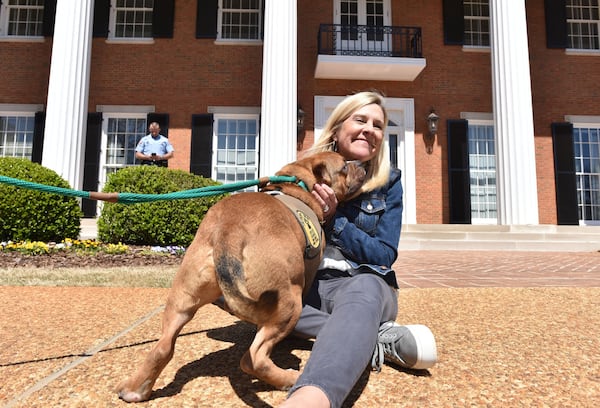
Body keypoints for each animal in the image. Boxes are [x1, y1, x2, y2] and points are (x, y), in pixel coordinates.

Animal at [115, 151, 364, 402]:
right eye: (344, 167)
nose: (361, 165)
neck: (300, 181)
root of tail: (228, 230)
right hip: (290, 303)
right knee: (253, 359)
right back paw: (288, 378)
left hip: (181, 301)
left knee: (163, 348)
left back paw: (134, 389)